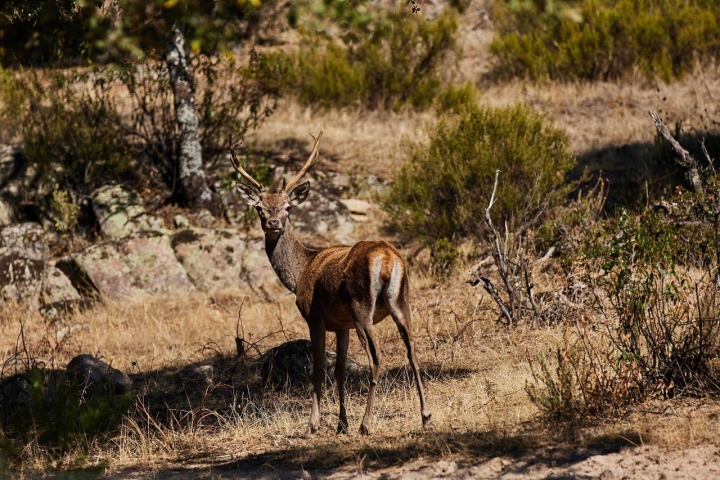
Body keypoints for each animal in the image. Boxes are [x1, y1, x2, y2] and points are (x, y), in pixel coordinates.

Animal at [230, 129, 431, 435]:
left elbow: (318, 369)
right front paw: (340, 423)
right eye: (260, 208)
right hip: (401, 300)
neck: (300, 271)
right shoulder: (341, 325)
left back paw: (366, 424)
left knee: (377, 358)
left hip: (362, 306)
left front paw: (313, 424)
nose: (274, 223)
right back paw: (425, 415)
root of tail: (387, 260)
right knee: (413, 351)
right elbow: (339, 371)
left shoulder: (314, 316)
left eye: (287, 207)